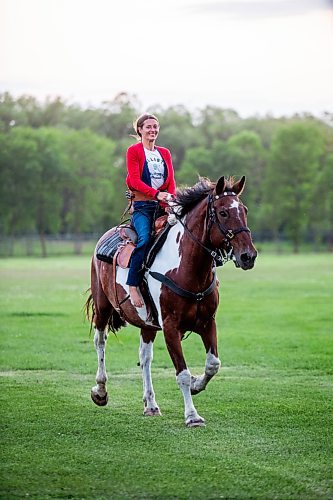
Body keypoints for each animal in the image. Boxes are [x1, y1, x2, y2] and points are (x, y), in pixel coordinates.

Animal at [85, 175, 256, 426]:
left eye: (244, 210)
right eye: (223, 212)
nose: (248, 256)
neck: (187, 268)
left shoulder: (207, 322)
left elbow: (213, 364)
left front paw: (196, 384)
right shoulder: (170, 327)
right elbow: (182, 373)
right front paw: (192, 415)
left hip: (147, 324)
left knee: (145, 357)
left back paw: (151, 404)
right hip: (103, 306)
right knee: (100, 341)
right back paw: (100, 390)